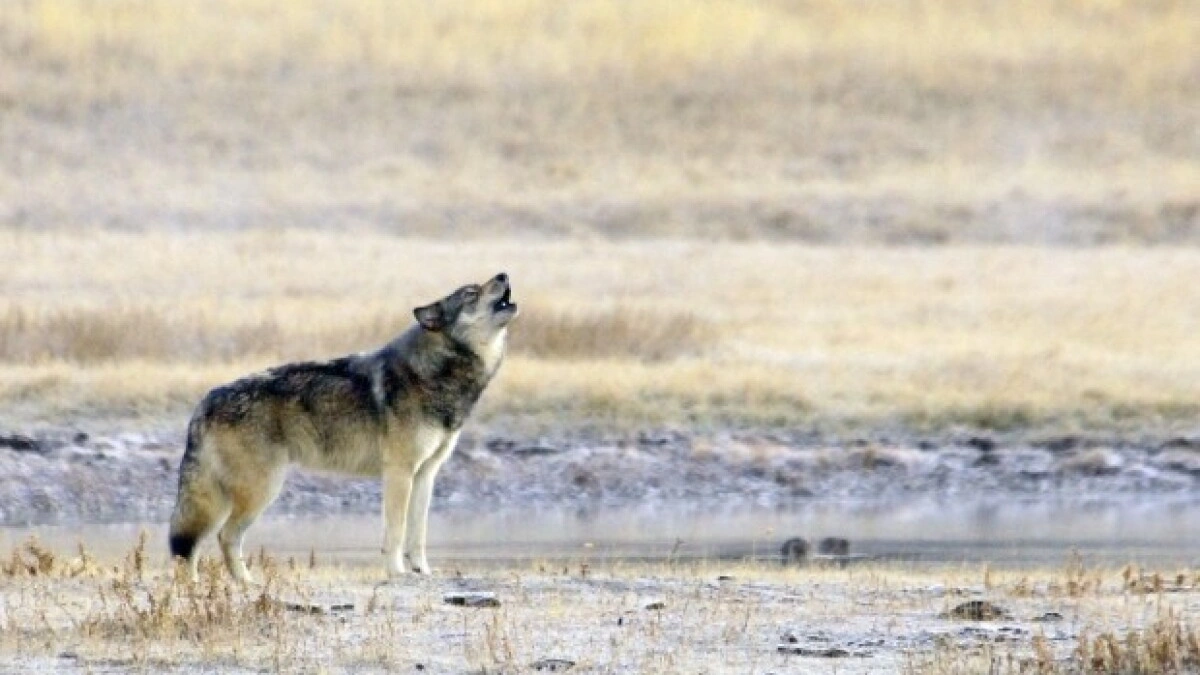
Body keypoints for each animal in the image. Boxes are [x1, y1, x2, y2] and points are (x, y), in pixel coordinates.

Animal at [168, 273, 517, 582]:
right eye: (471, 293)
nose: (504, 274)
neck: (434, 374)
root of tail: (206, 400)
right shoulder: (399, 472)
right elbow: (396, 531)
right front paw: (397, 573)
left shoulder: (425, 475)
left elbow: (417, 534)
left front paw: (422, 572)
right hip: (260, 490)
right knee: (221, 537)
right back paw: (239, 582)